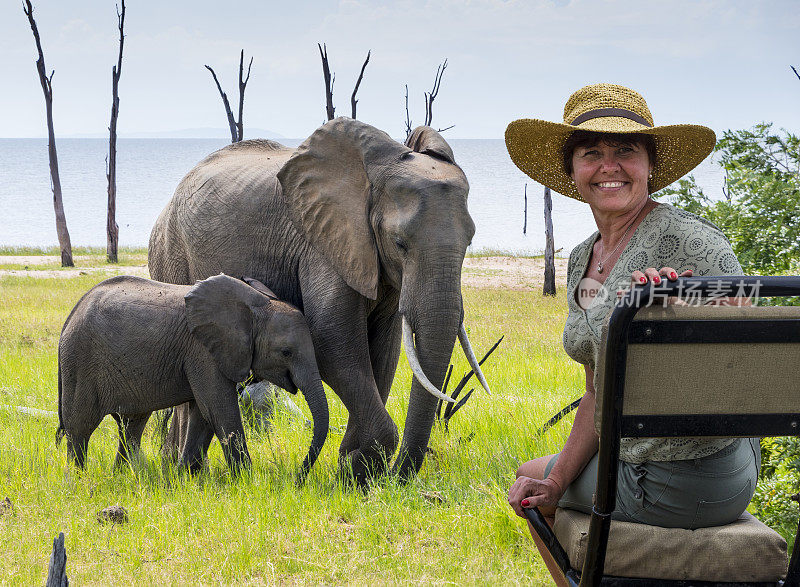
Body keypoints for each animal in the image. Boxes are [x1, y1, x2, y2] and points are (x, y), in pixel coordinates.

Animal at [57, 274, 328, 480]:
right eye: (286, 352)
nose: (298, 478)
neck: (256, 306)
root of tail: (71, 315)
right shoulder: (202, 351)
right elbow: (219, 409)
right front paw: (248, 481)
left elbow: (203, 413)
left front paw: (183, 478)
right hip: (80, 363)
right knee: (79, 428)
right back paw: (78, 480)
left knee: (132, 426)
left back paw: (122, 476)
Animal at [147, 118, 490, 482]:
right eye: (399, 243)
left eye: (470, 242)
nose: (397, 477)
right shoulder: (321, 243)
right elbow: (331, 339)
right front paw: (358, 470)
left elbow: (384, 350)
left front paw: (354, 471)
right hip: (170, 253)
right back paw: (180, 471)